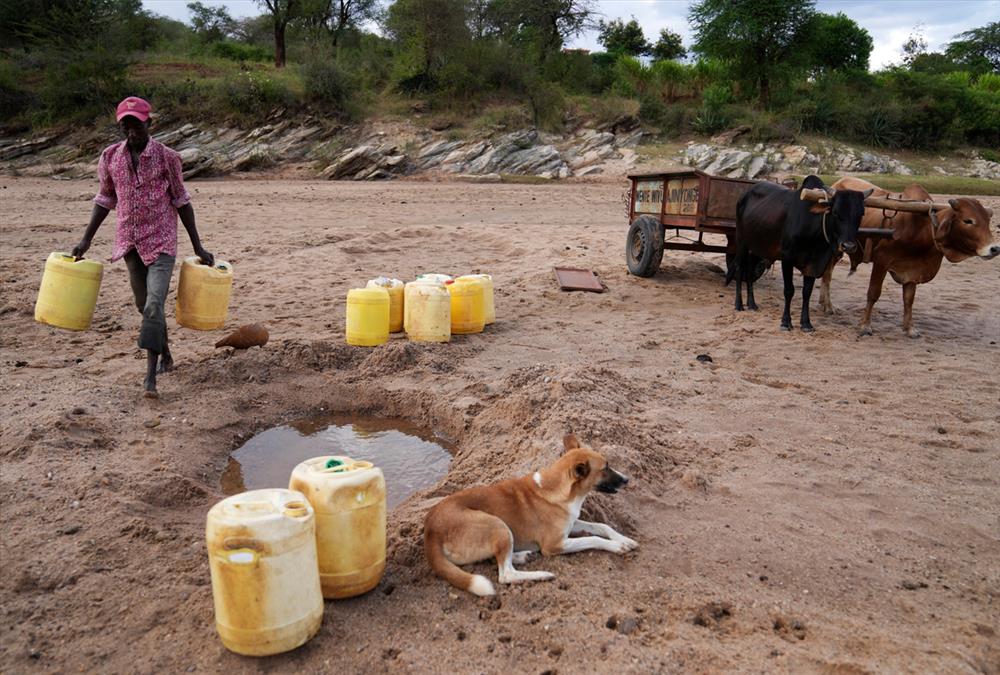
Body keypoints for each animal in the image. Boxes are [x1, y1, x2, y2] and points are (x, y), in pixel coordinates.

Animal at [422, 434, 632, 596]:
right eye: (605, 468)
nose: (627, 479)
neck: (558, 488)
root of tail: (431, 529)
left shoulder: (572, 523)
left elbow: (601, 526)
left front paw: (624, 539)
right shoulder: (554, 545)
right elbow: (593, 539)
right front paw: (617, 546)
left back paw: (522, 556)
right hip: (498, 525)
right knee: (505, 574)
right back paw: (541, 574)